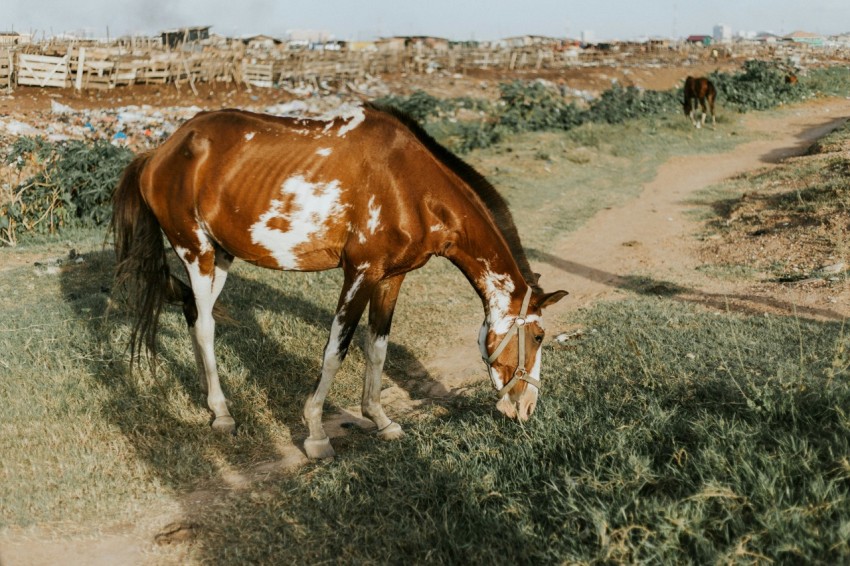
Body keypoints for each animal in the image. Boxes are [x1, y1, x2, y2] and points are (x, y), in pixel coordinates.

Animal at [111, 103, 568, 459]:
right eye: (539, 336)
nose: (526, 408)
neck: (410, 185)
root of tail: (160, 151)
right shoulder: (359, 273)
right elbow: (336, 351)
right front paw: (315, 434)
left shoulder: (391, 278)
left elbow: (377, 349)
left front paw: (380, 420)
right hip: (196, 253)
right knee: (205, 325)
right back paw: (223, 414)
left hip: (220, 257)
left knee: (192, 314)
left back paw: (211, 403)